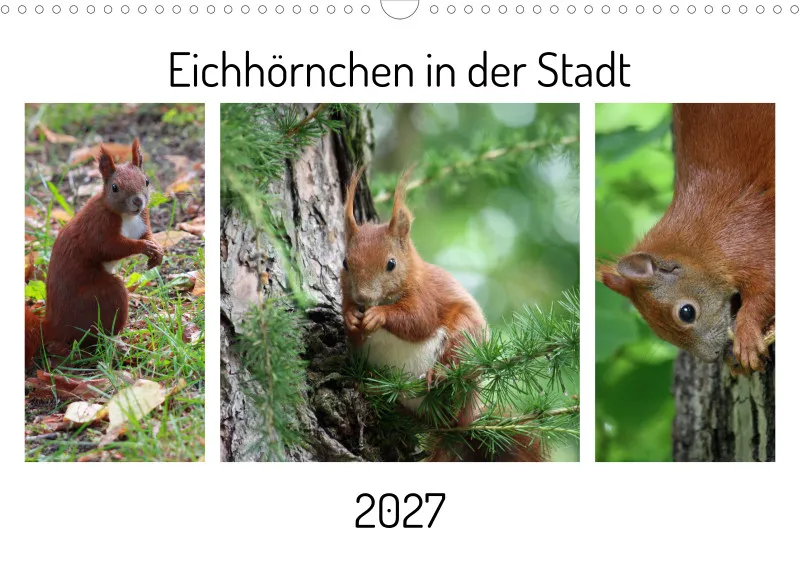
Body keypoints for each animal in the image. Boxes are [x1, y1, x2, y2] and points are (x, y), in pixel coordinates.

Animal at [25, 139, 164, 367]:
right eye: (115, 187)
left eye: (147, 181)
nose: (138, 201)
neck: (126, 216)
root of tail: (53, 326)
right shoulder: (97, 228)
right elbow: (110, 247)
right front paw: (143, 247)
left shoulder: (143, 220)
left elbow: (148, 235)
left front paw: (157, 250)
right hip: (99, 297)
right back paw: (114, 344)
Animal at [340, 167, 544, 462]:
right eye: (345, 262)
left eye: (391, 264)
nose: (364, 298)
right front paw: (350, 319)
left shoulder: (426, 296)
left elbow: (418, 320)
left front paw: (379, 315)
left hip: (465, 337)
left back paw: (439, 375)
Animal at [599, 103, 775, 374]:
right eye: (660, 334)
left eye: (686, 312)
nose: (714, 356)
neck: (700, 243)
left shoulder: (751, 237)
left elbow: (766, 288)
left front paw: (745, 337)